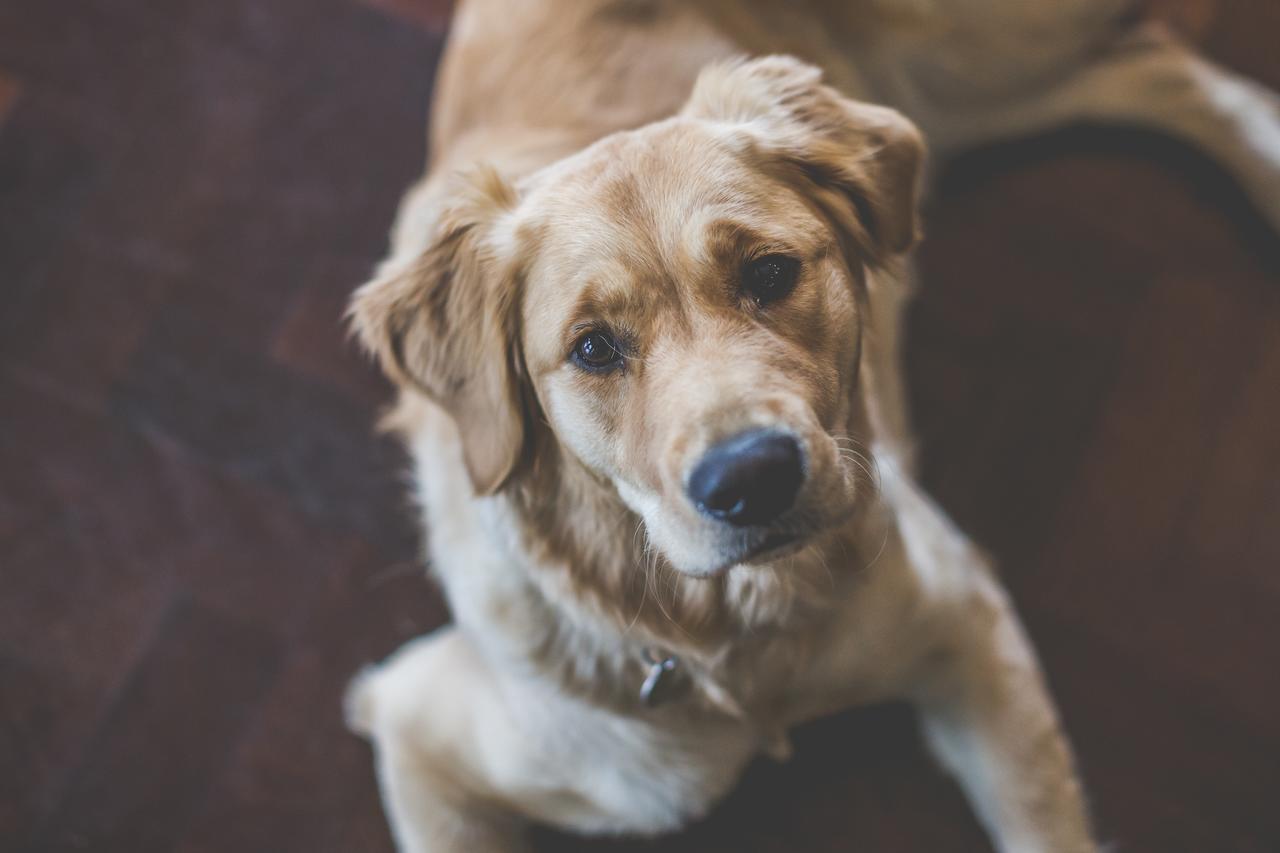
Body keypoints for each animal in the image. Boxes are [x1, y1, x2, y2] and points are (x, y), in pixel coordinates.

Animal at [340, 3, 1280, 845]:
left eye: (770, 272)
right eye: (594, 347)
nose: (751, 479)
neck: (743, 641)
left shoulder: (967, 620)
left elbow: (1046, 826)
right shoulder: (419, 727)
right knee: (1142, 65)